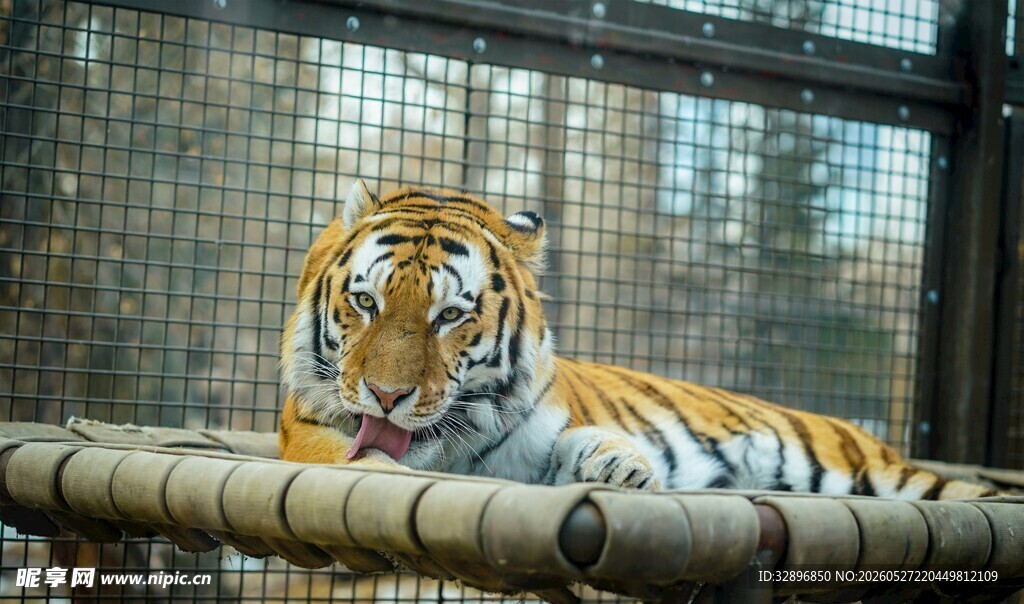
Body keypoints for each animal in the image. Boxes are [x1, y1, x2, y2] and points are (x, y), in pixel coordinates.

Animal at [278, 180, 997, 500]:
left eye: (451, 315)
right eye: (365, 302)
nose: (386, 396)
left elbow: (585, 440)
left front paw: (620, 464)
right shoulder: (307, 436)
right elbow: (362, 461)